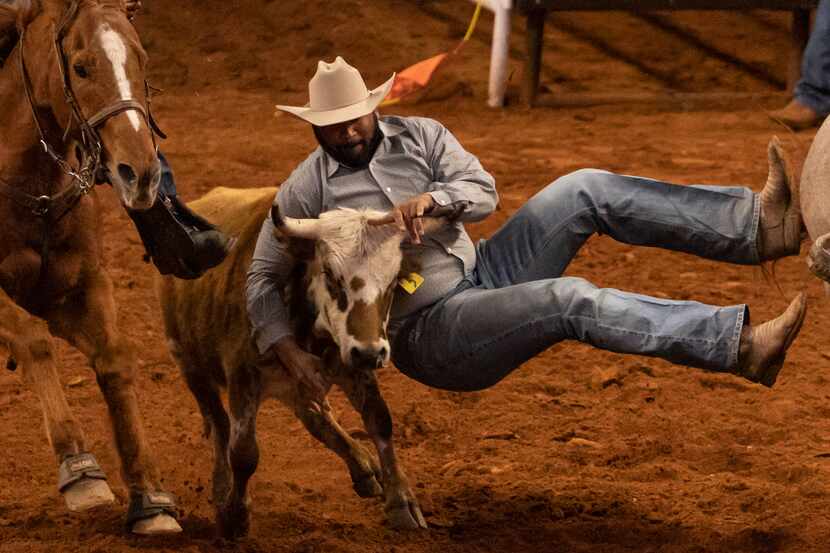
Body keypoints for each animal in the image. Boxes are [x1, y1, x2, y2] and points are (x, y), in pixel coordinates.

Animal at [0, 0, 181, 536]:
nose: (141, 172)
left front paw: (150, 497)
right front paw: (80, 471)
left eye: (142, 61)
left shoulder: (79, 289)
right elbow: (34, 342)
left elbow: (115, 359)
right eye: (81, 67)